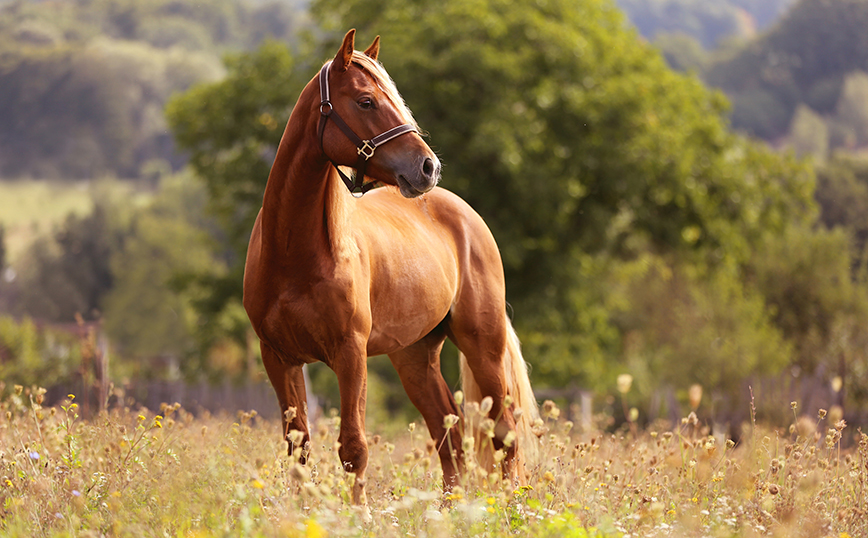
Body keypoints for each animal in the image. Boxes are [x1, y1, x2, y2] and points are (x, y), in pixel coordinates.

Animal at [242, 30, 536, 502]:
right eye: (366, 101)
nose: (428, 166)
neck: (294, 254)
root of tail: (465, 213)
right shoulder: (279, 358)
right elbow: (298, 450)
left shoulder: (350, 353)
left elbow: (353, 448)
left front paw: (358, 513)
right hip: (414, 356)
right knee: (448, 435)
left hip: (482, 345)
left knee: (502, 433)